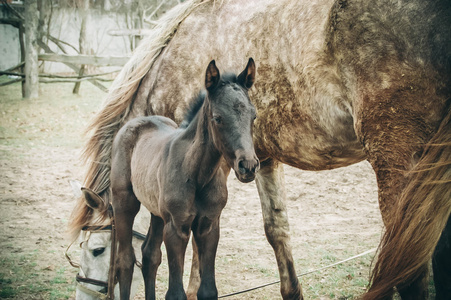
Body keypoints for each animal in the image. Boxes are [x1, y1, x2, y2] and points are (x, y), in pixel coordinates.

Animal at [109, 59, 260, 300]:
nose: (248, 166)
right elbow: (175, 293)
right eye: (218, 118)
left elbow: (208, 290)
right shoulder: (176, 227)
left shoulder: (209, 225)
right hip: (124, 202)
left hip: (156, 212)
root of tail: (139, 121)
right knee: (125, 260)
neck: (197, 175)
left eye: (253, 116)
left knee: (150, 255)